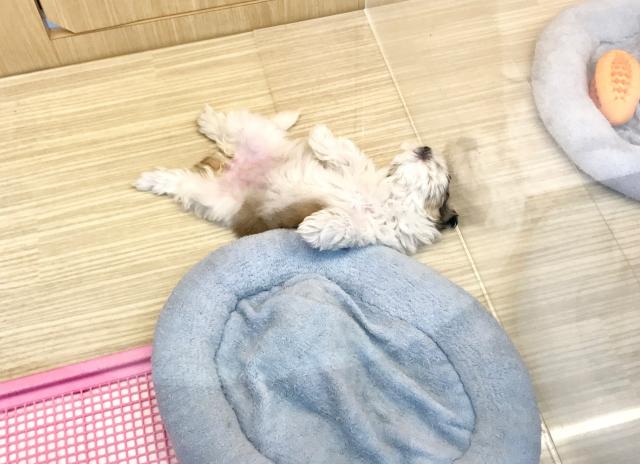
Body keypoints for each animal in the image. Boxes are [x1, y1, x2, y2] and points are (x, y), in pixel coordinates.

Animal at [135, 107, 457, 255]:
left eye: (446, 176)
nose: (426, 148)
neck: (394, 195)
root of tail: (233, 165)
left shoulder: (382, 231)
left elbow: (349, 225)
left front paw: (314, 227)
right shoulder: (357, 169)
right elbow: (345, 153)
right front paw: (321, 136)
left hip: (213, 197)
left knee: (179, 182)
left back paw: (151, 179)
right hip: (254, 135)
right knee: (232, 124)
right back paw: (208, 119)